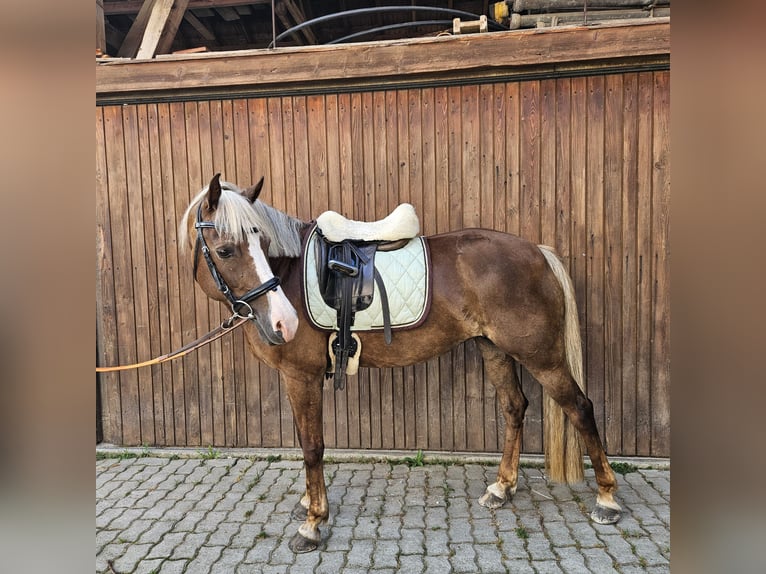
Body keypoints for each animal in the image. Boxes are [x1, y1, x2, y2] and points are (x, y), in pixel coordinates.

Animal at [182, 174, 624, 552]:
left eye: (260, 242)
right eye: (226, 250)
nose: (283, 322)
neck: (289, 274)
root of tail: (538, 252)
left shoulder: (301, 377)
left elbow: (312, 446)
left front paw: (312, 523)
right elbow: (306, 442)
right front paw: (309, 503)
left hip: (541, 356)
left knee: (581, 408)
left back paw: (606, 499)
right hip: (493, 349)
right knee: (515, 407)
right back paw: (502, 488)